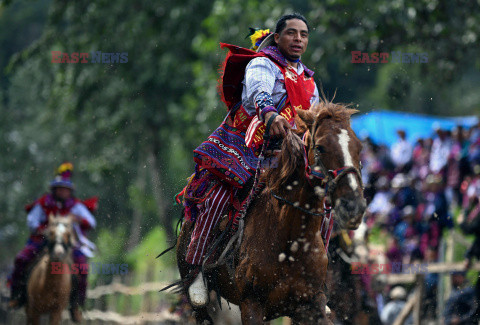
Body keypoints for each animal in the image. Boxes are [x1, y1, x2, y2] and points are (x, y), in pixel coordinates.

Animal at [177, 100, 368, 322]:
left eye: (359, 148)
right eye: (320, 147)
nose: (354, 206)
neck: (290, 242)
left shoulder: (310, 304)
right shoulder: (251, 304)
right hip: (200, 306)